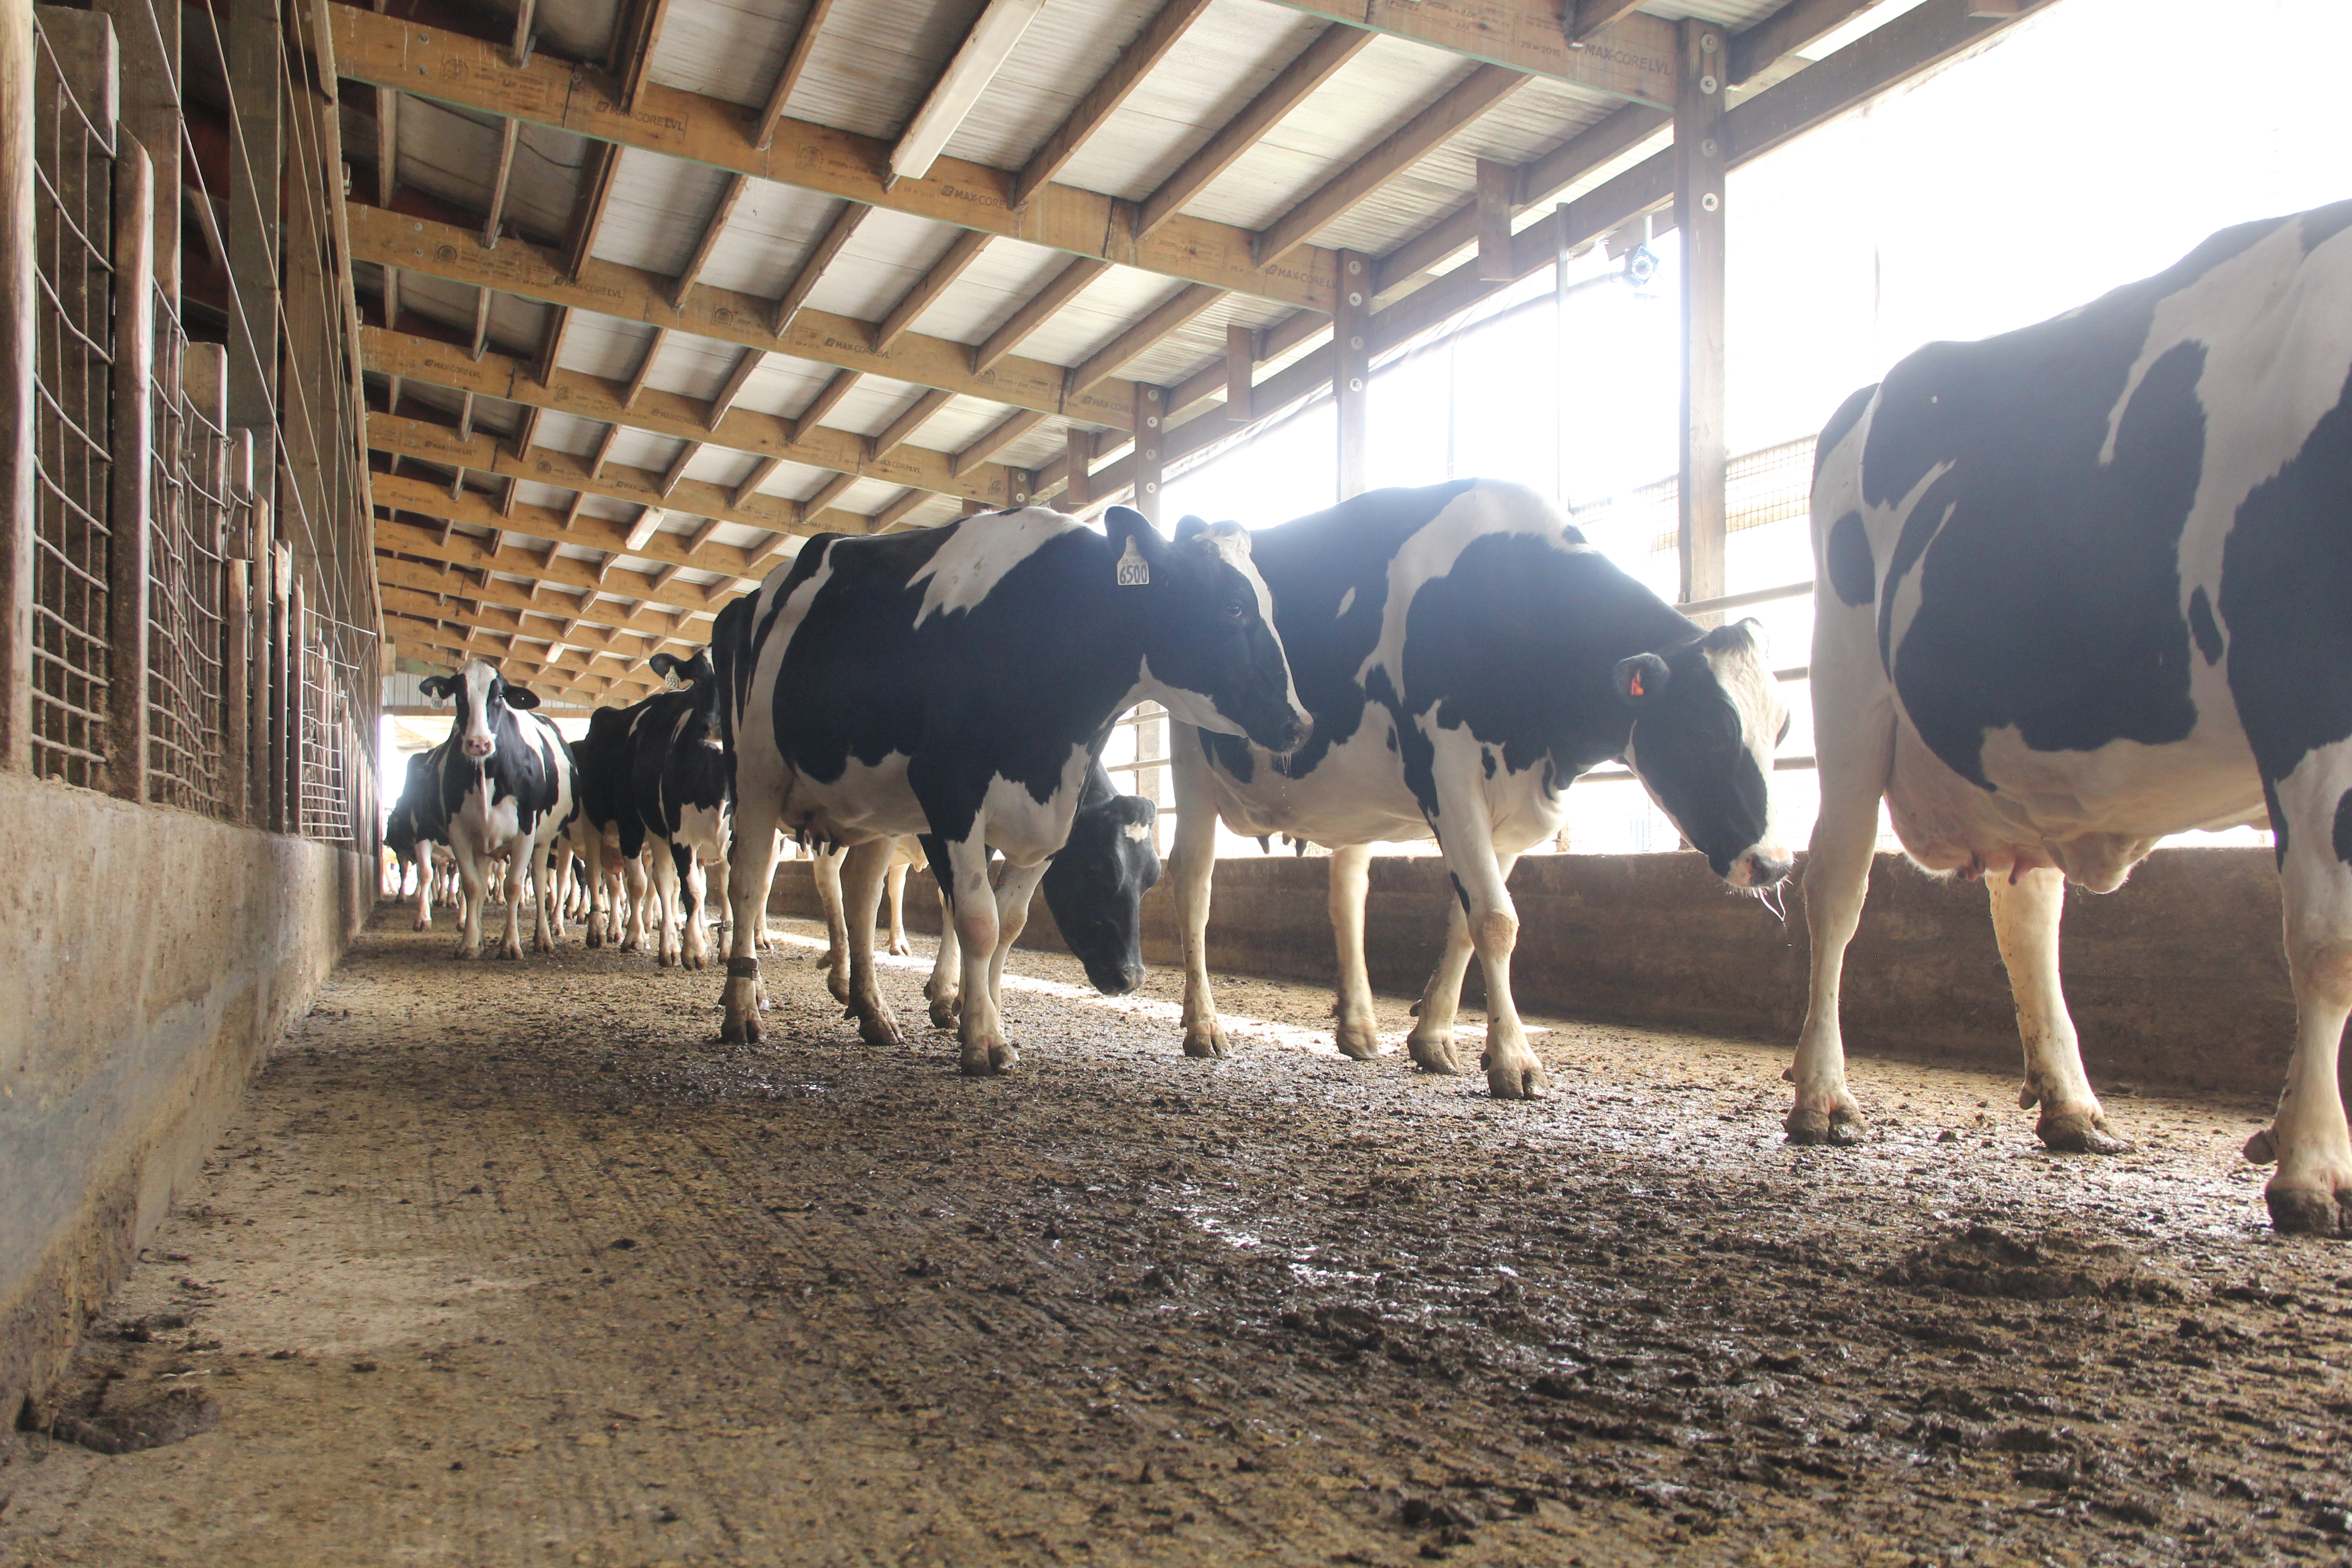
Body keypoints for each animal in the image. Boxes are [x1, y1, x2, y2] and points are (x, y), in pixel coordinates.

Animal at [418, 658, 578, 959]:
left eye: (500, 697)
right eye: (459, 696)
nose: (479, 743)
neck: (486, 775)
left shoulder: (527, 827)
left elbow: (515, 885)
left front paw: (511, 944)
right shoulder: (458, 830)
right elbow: (472, 886)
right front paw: (470, 943)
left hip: (544, 839)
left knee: (540, 880)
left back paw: (543, 937)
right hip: (482, 842)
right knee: (481, 881)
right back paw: (480, 936)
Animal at [715, 510, 1308, 1072]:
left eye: (1150, 880)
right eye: (1233, 607)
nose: (1298, 723)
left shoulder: (1053, 818)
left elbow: (1009, 924)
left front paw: (983, 1013)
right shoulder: (948, 796)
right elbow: (977, 919)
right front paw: (981, 1038)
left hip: (872, 807)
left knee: (860, 895)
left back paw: (873, 1012)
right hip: (756, 773)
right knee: (747, 882)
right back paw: (743, 1006)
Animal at [1166, 480, 1787, 1105]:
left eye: (1783, 730)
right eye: (1708, 730)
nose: (1775, 863)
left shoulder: (1512, 810)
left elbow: (1471, 922)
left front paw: (1434, 1037)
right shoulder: (1449, 774)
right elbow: (1495, 919)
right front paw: (1514, 1058)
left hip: (1353, 798)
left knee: (1348, 894)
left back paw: (1359, 1027)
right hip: (1192, 756)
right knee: (1194, 882)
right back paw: (1203, 1025)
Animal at [1778, 206, 2352, 1241]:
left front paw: (2293, 1136)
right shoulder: (2304, 678)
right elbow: (2329, 941)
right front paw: (2315, 1169)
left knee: (2026, 909)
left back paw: (2071, 1103)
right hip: (1850, 686)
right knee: (1837, 887)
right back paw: (1821, 1096)